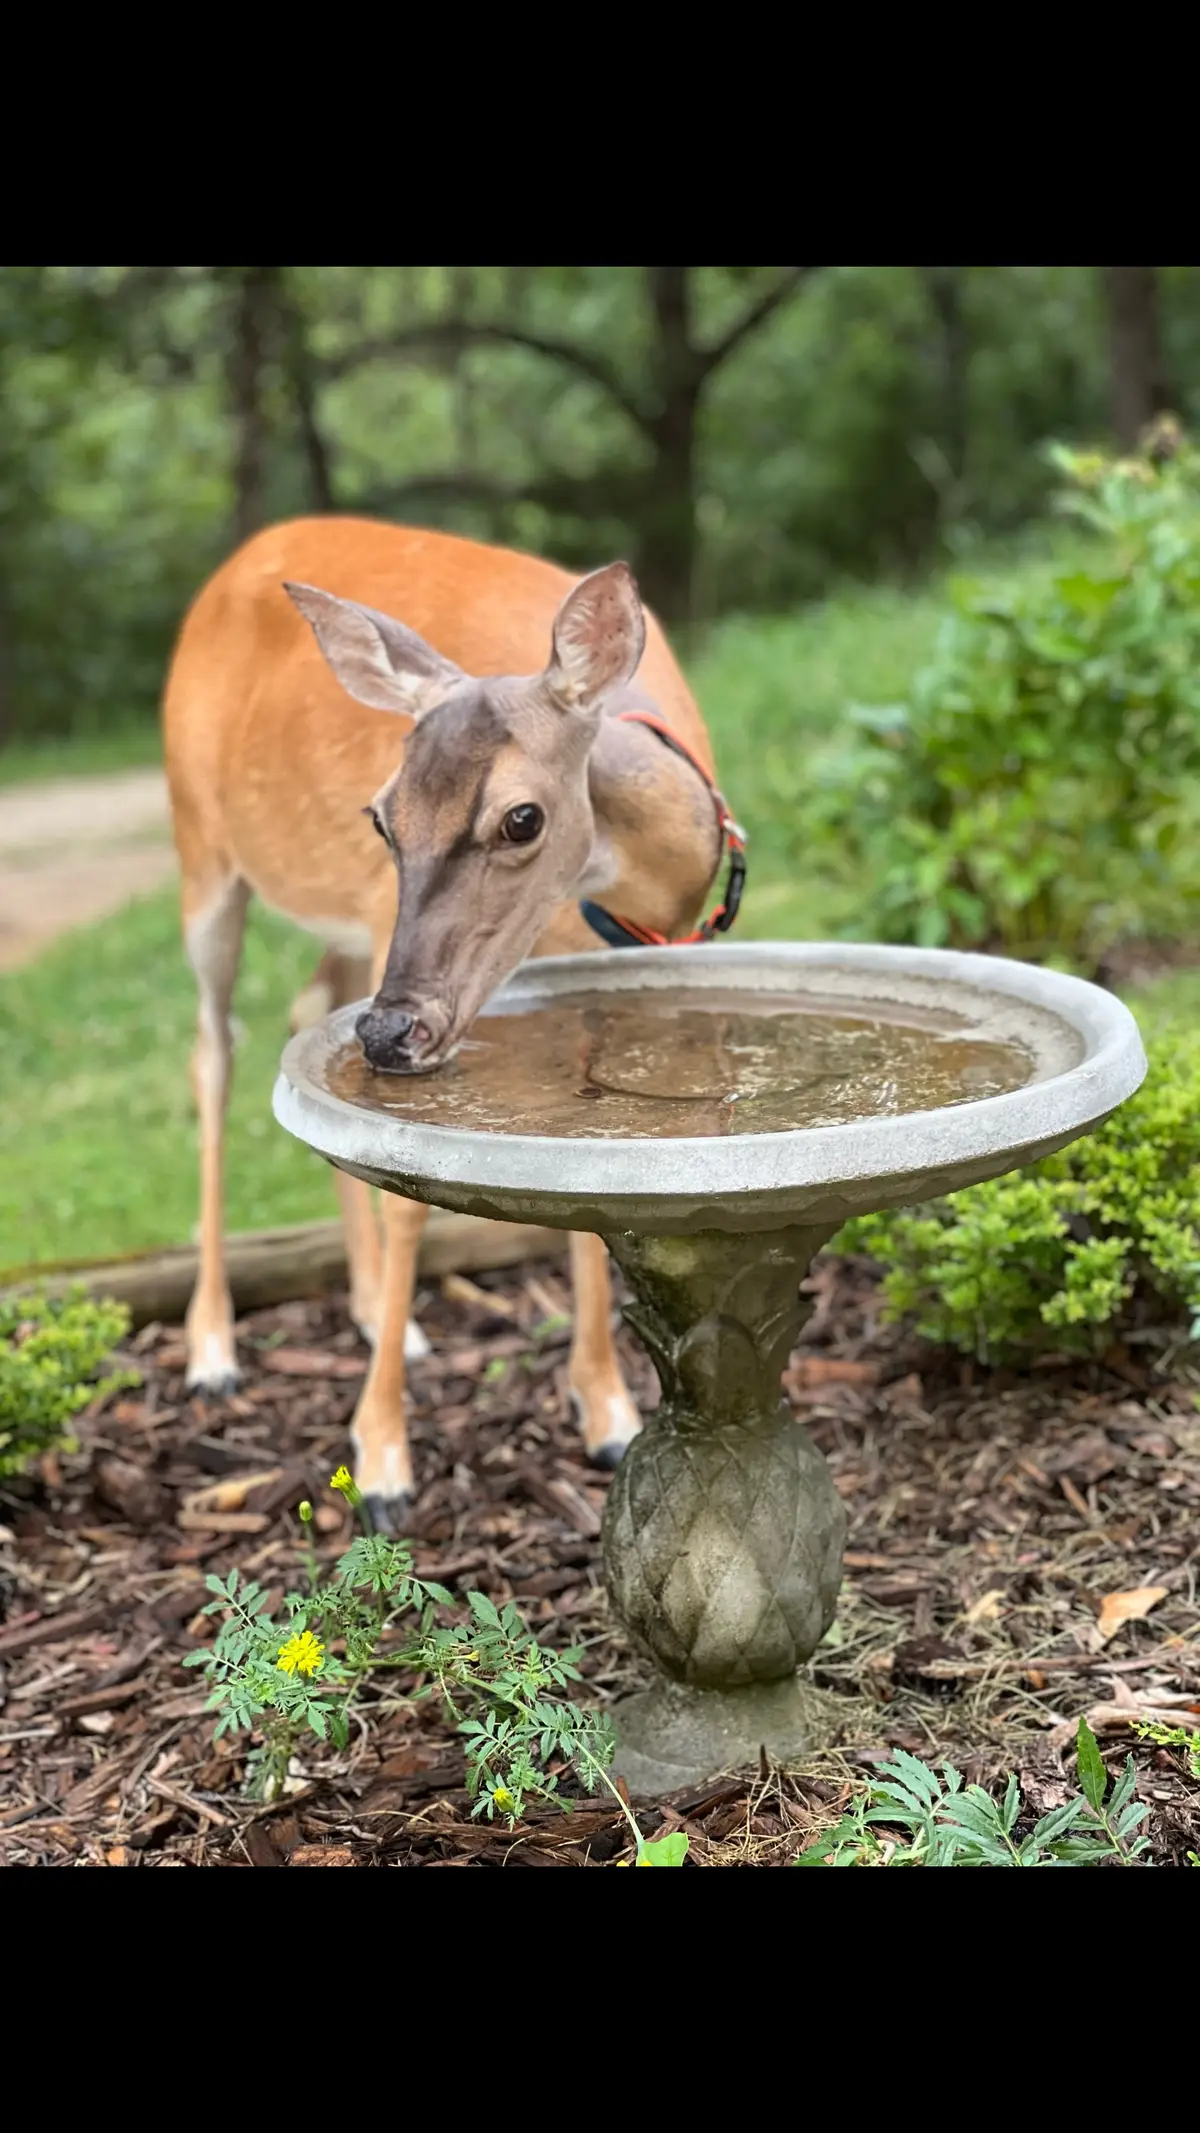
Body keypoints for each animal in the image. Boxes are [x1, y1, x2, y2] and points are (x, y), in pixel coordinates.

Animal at [159, 524, 741, 1544]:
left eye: (522, 816)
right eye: (381, 816)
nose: (394, 1029)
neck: (653, 896)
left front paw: (607, 1414)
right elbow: (413, 1196)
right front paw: (383, 1461)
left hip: (342, 928)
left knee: (303, 1009)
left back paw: (367, 1308)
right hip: (204, 848)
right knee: (212, 1050)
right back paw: (213, 1348)